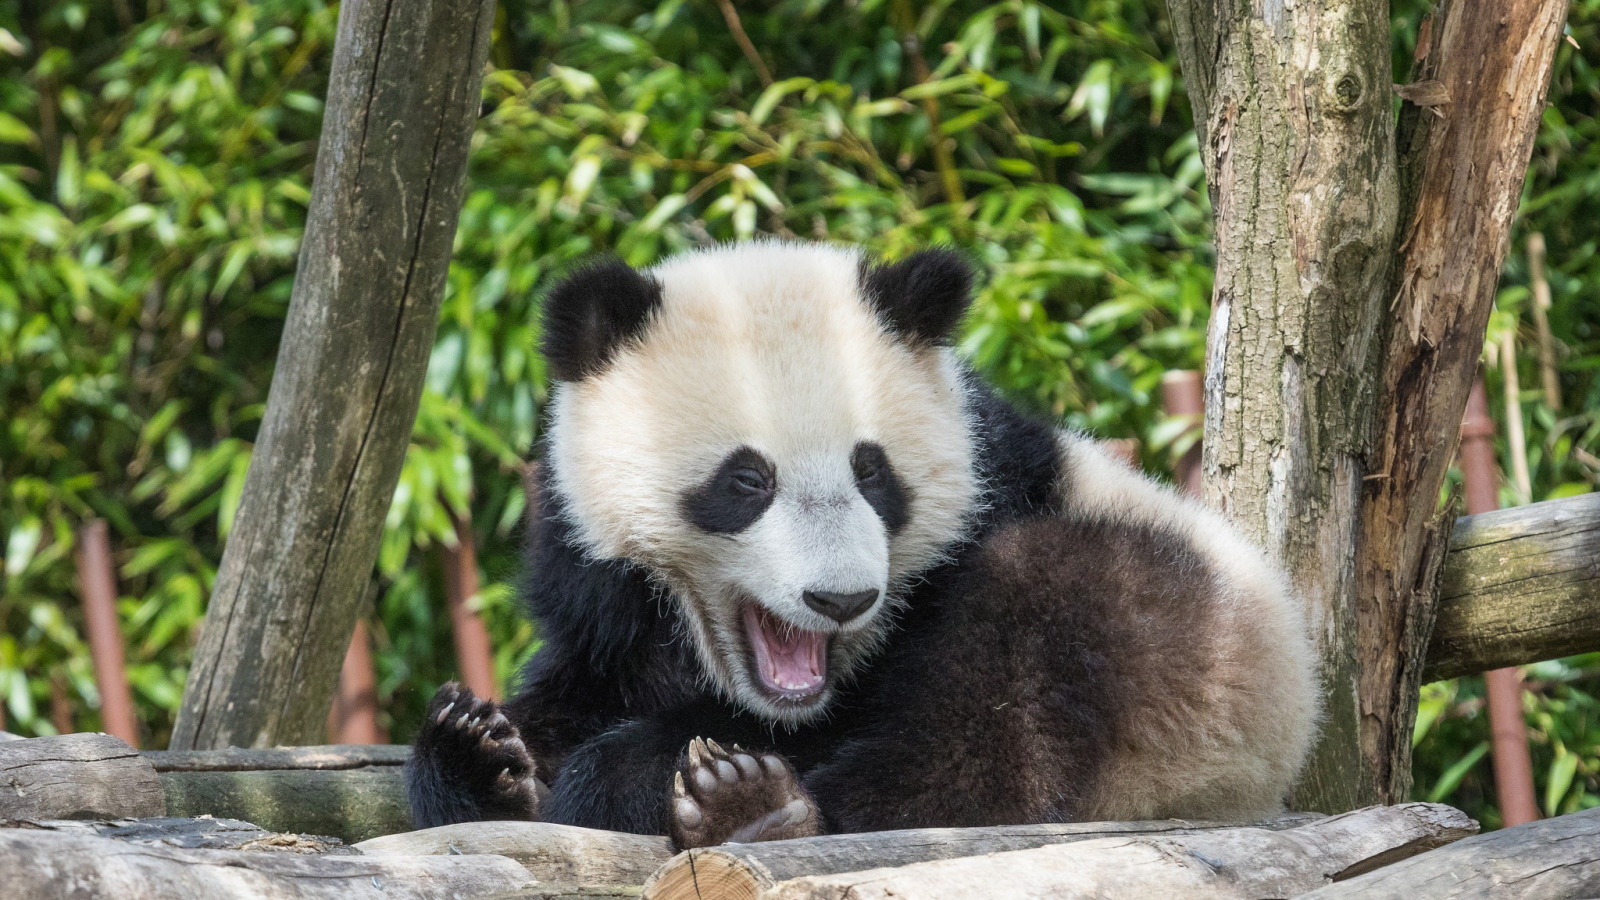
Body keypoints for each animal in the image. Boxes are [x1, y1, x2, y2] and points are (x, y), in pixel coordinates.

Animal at [406, 237, 1318, 839]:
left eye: (873, 472)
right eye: (748, 480)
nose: (841, 599)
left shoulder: (988, 502)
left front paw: (625, 778)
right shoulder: (602, 604)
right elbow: (569, 690)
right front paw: (480, 750)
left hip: (1182, 652)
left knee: (1006, 707)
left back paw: (760, 810)